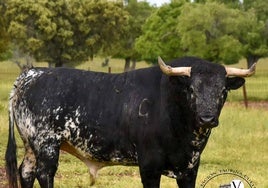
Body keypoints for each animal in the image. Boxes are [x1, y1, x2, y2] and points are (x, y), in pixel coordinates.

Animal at [5, 56, 254, 188]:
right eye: (192, 89)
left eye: (223, 91)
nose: (207, 118)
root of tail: (31, 74)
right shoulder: (149, 166)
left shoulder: (190, 169)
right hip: (47, 145)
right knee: (44, 173)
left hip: (30, 144)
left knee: (26, 171)